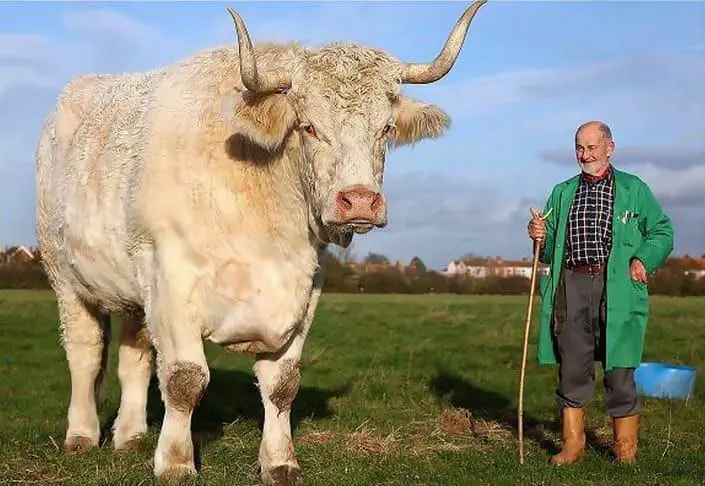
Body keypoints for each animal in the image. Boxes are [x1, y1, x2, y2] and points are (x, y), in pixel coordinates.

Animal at [34, 1, 487, 484]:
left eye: (385, 129)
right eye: (308, 127)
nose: (360, 201)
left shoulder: (305, 288)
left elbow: (282, 385)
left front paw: (280, 461)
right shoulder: (171, 278)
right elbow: (184, 379)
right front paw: (175, 462)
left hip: (134, 289)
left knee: (133, 355)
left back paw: (130, 436)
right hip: (65, 276)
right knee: (85, 353)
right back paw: (82, 435)